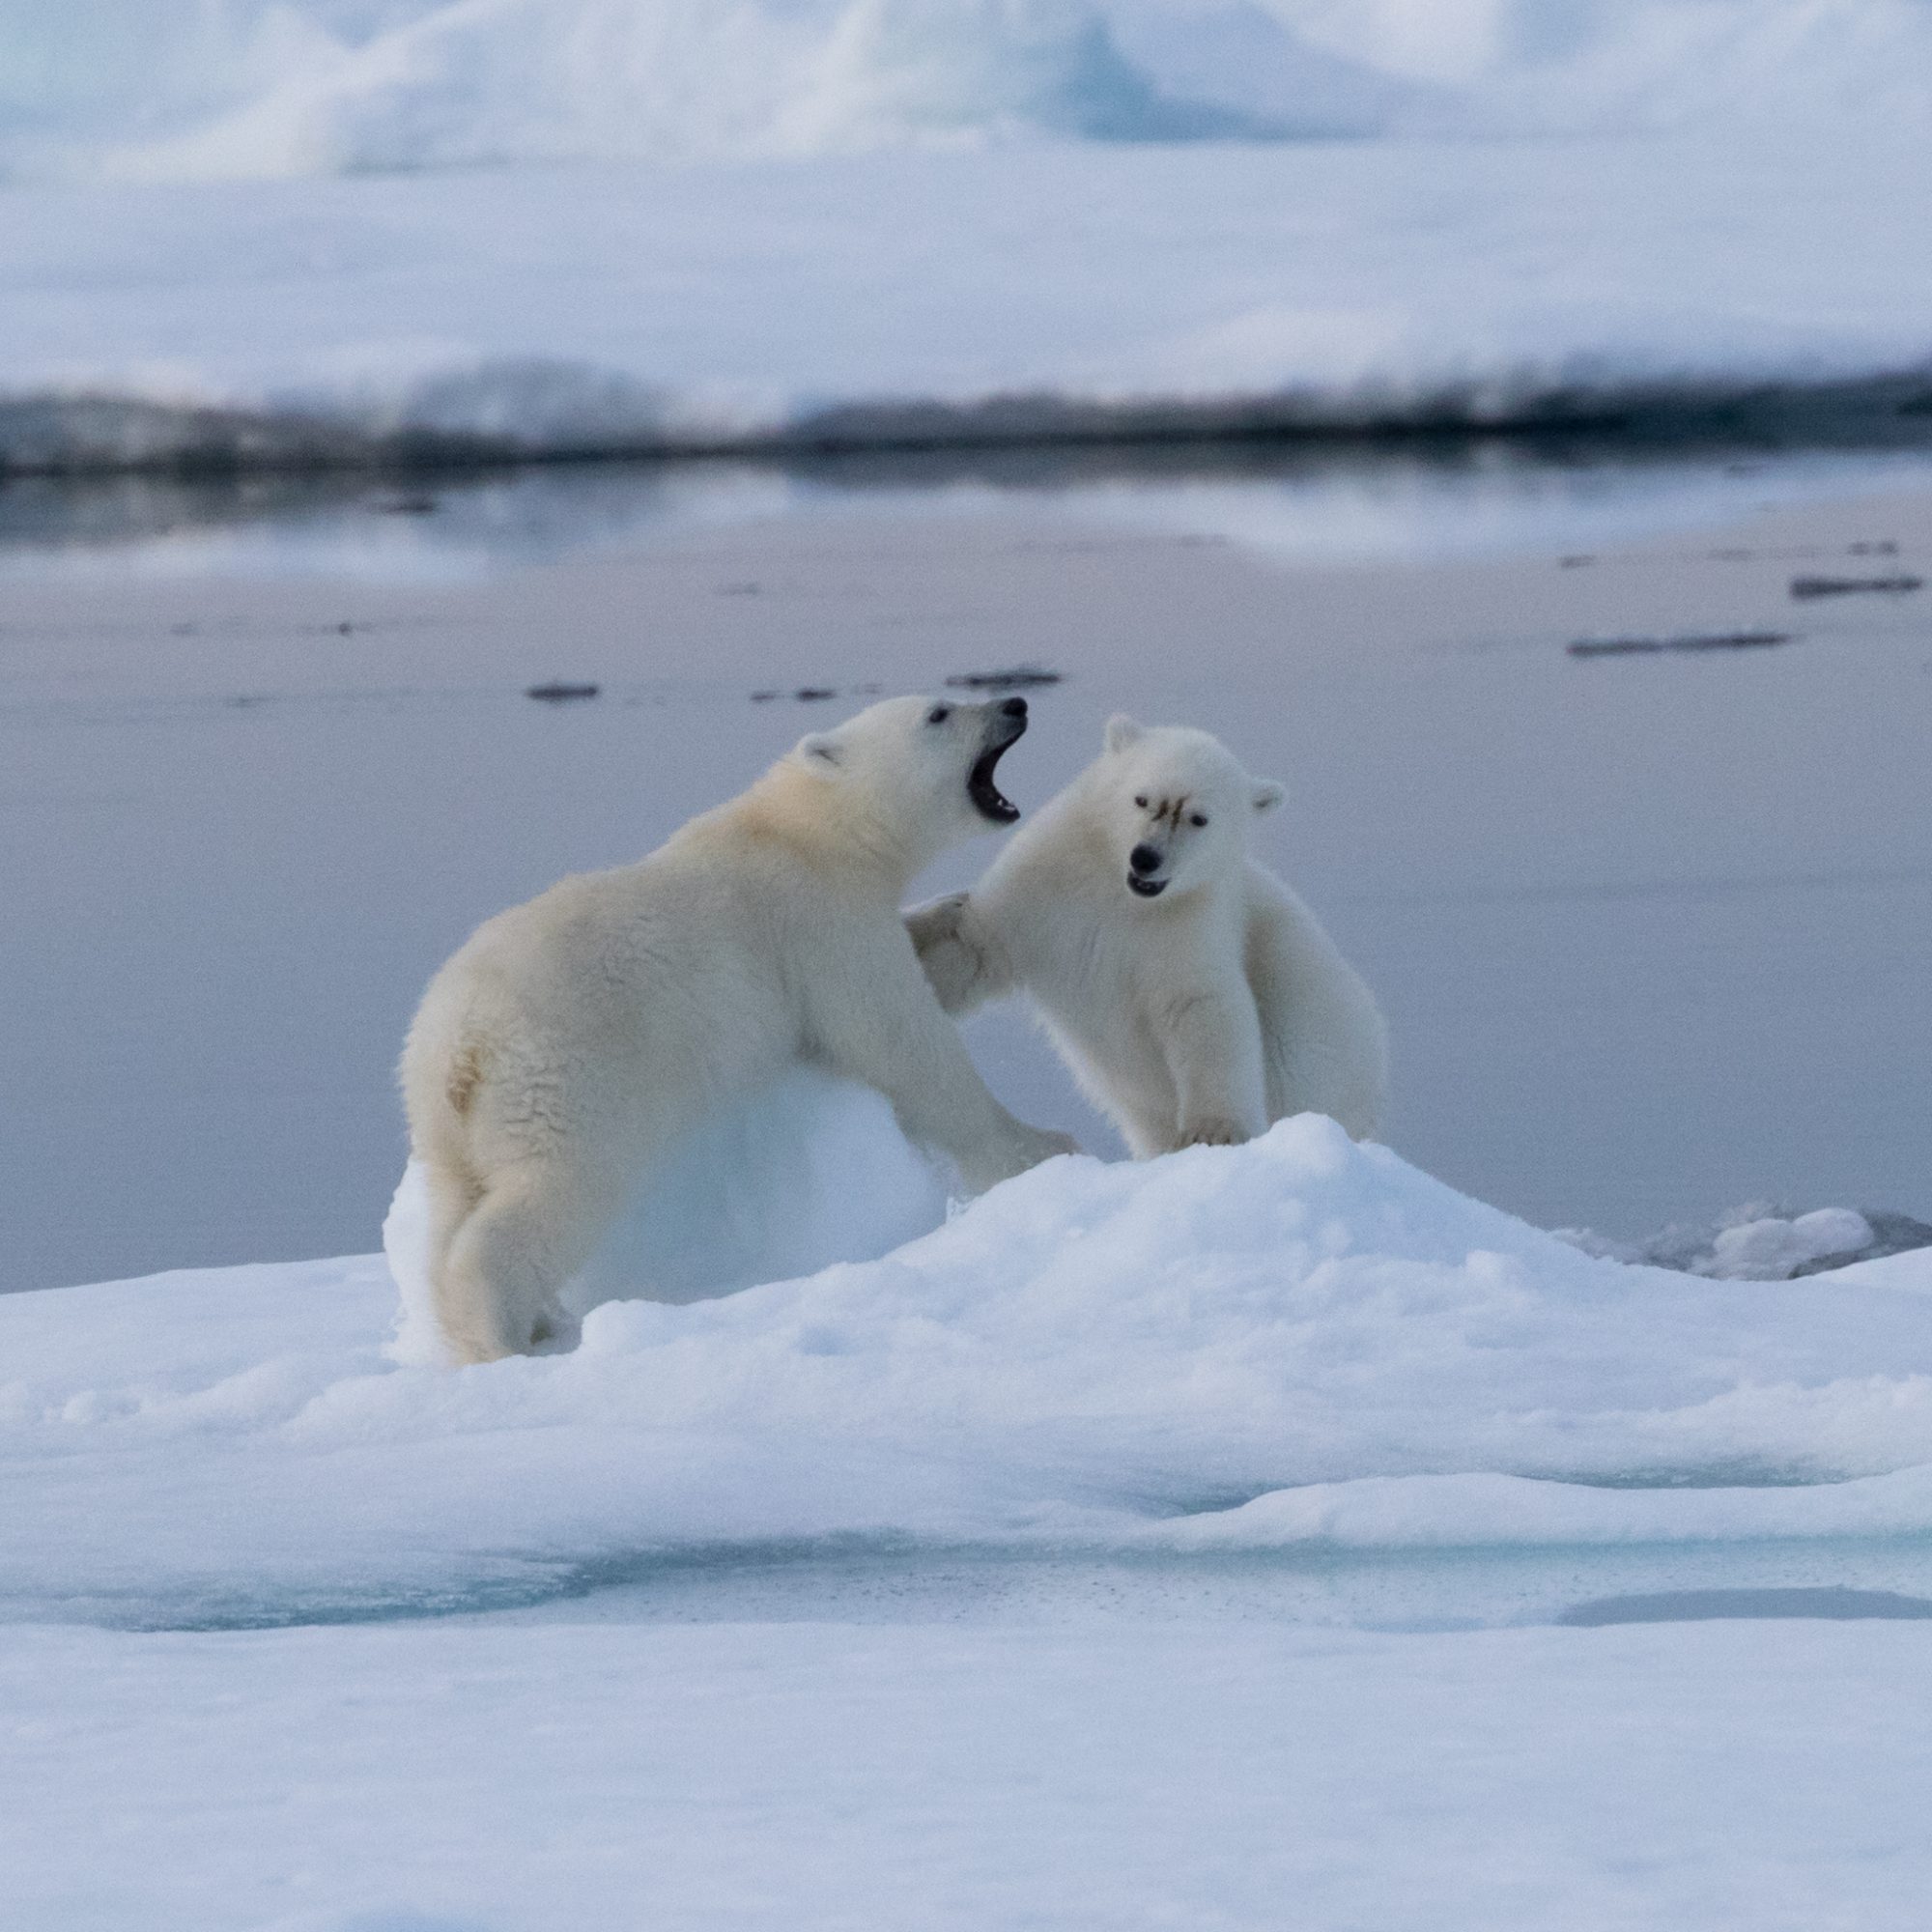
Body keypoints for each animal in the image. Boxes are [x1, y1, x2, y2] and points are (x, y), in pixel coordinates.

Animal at [402, 696, 1082, 1360]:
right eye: (939, 713)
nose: (1015, 703)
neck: (803, 829)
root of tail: (459, 1047)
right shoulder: (815, 918)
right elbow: (899, 1039)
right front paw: (1042, 1146)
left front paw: (950, 911)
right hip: (565, 1077)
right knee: (552, 1190)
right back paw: (498, 1333)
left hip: (449, 1123)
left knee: (450, 1205)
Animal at [908, 715, 1391, 1151]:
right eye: (1141, 799)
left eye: (1198, 818)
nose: (1145, 858)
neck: (1120, 895)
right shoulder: (1044, 892)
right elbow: (975, 946)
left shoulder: (1186, 925)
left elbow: (1203, 1009)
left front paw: (1213, 1131)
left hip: (1315, 1053)